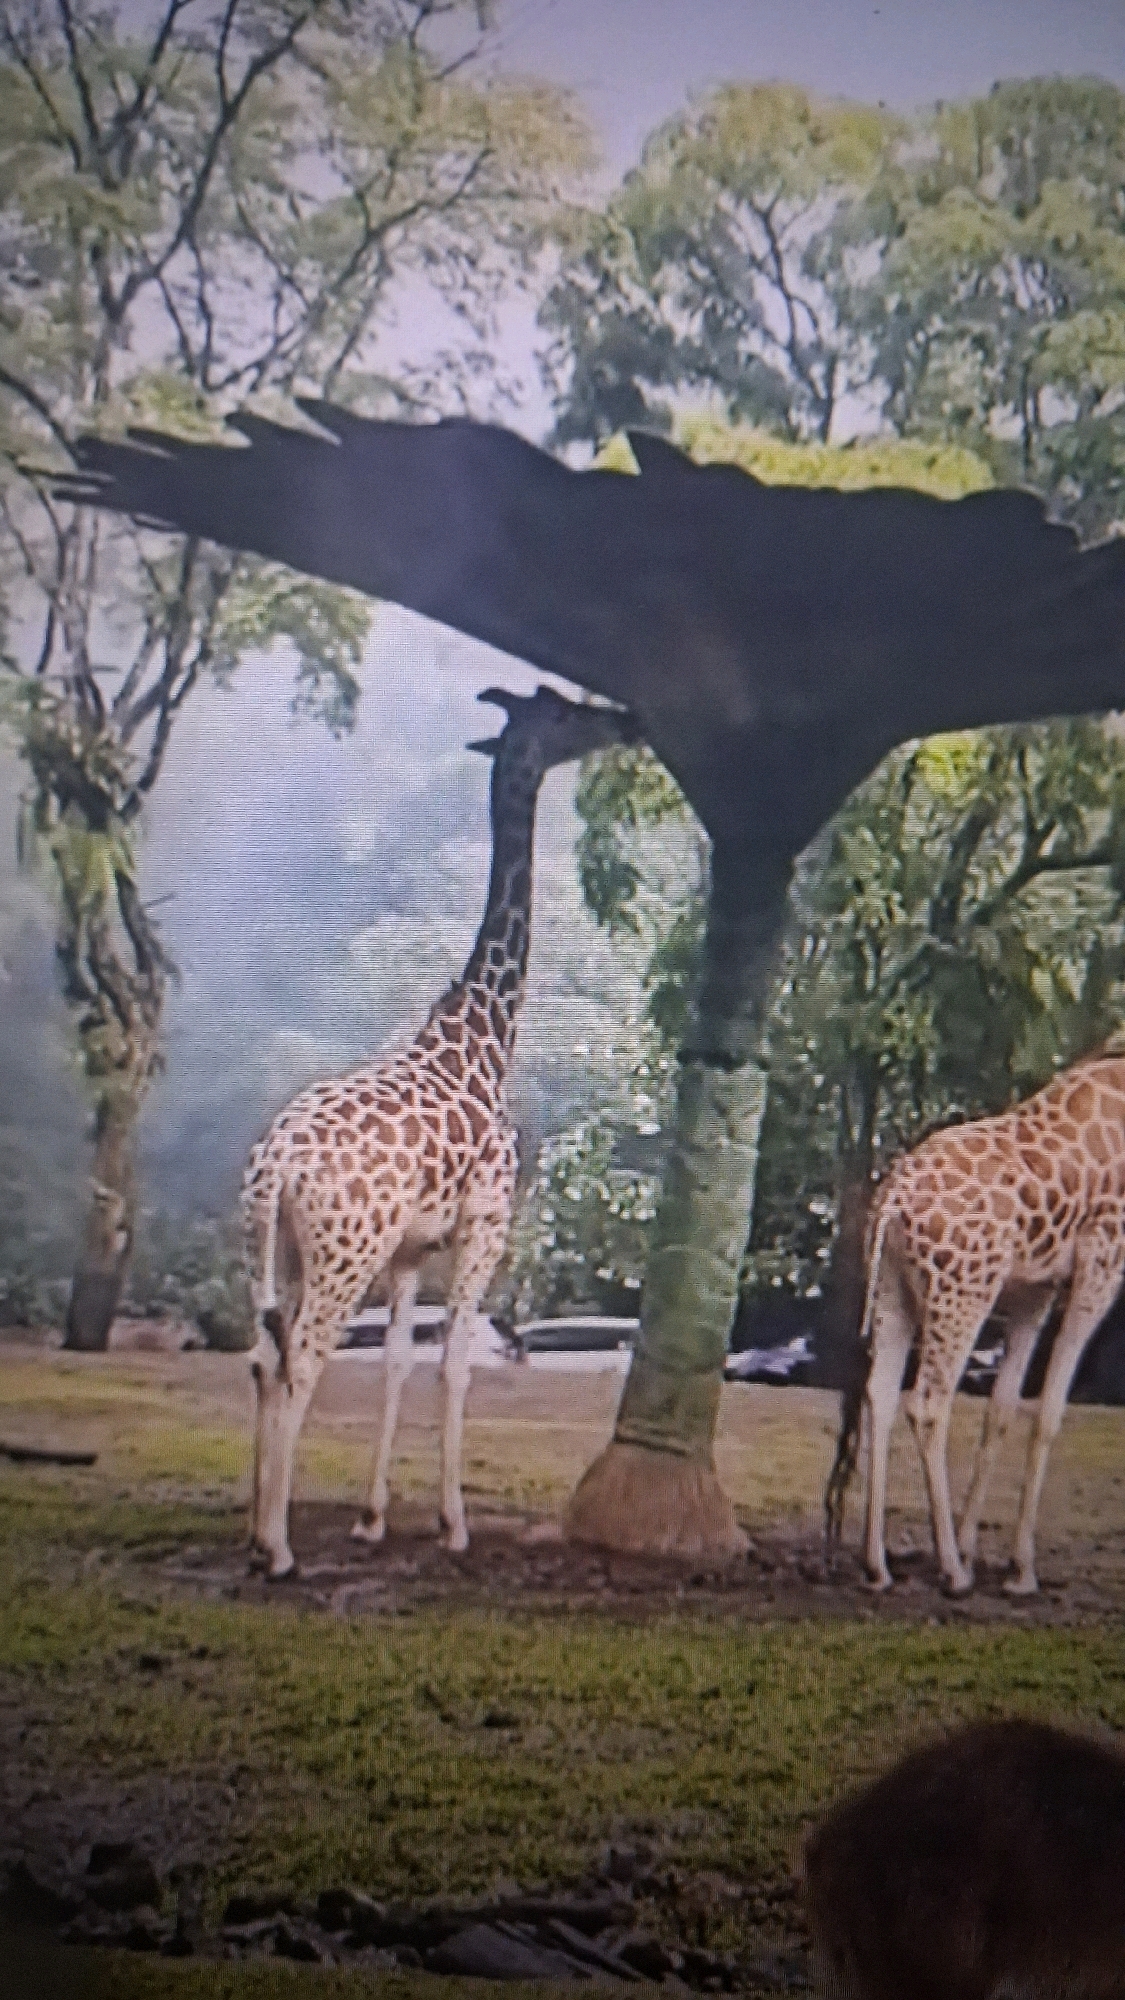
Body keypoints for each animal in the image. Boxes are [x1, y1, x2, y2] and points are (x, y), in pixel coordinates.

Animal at [242, 684, 633, 1579]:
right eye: (561, 711)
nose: (623, 720)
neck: (485, 1036)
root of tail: (276, 1165)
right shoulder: (486, 1224)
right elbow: (454, 1363)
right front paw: (453, 1526)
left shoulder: (410, 1251)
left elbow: (396, 1361)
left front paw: (373, 1519)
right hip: (340, 1254)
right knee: (302, 1360)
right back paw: (276, 1547)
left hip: (272, 1249)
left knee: (261, 1356)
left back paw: (254, 1525)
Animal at [827, 1053, 1125, 1597]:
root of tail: (892, 1201)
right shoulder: (1103, 1260)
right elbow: (1049, 1414)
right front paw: (1020, 1569)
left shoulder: (1035, 1287)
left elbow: (1002, 1409)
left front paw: (974, 1544)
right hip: (963, 1291)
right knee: (927, 1403)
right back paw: (951, 1570)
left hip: (893, 1290)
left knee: (880, 1393)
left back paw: (878, 1565)